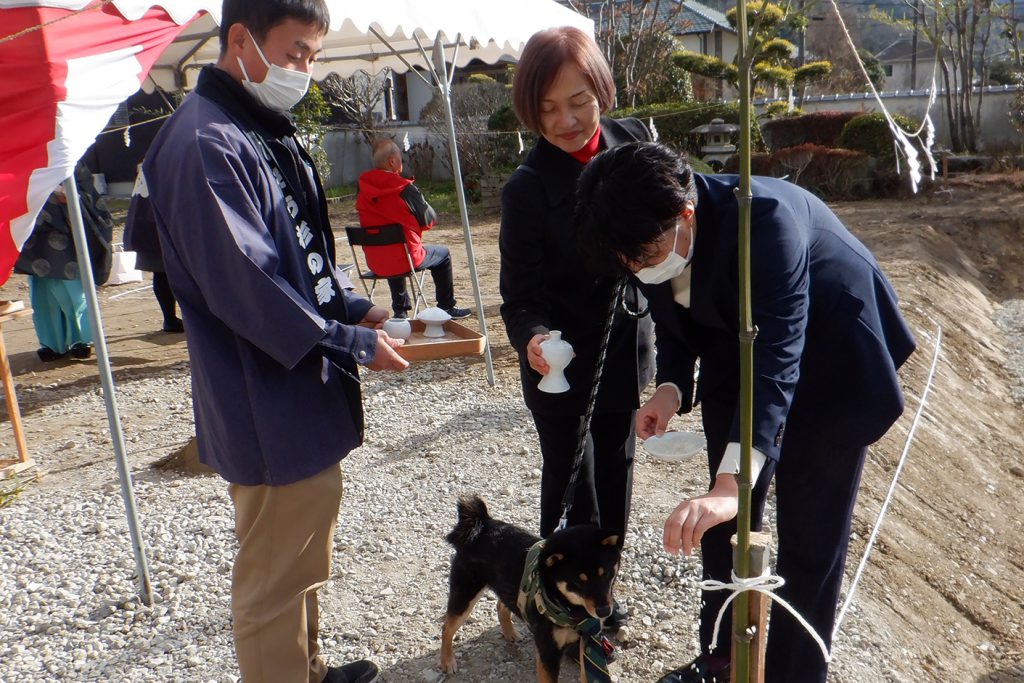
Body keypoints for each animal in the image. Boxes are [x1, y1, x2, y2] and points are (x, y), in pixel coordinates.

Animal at [438, 497, 618, 683]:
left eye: (606, 574)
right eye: (577, 581)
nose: (604, 612)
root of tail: (484, 524)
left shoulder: (589, 638)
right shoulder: (548, 650)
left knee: (501, 606)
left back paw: (510, 633)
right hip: (465, 594)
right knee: (446, 628)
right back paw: (447, 661)